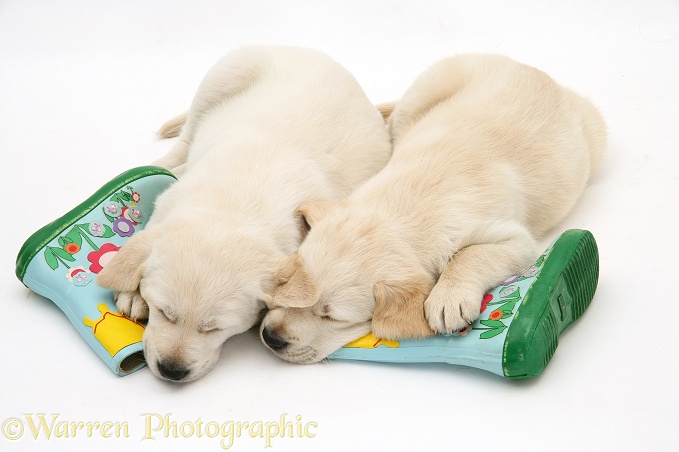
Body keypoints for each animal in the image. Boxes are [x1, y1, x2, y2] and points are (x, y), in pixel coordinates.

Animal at [96, 46, 394, 382]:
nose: (172, 371)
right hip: (222, 77)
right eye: (163, 313)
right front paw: (132, 293)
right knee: (185, 138)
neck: (234, 206)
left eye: (215, 329)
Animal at [260, 53, 604, 364]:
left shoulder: (515, 240)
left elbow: (470, 255)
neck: (398, 206)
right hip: (425, 89)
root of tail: (533, 69)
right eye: (287, 283)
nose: (270, 337)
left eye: (333, 318)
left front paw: (448, 298)